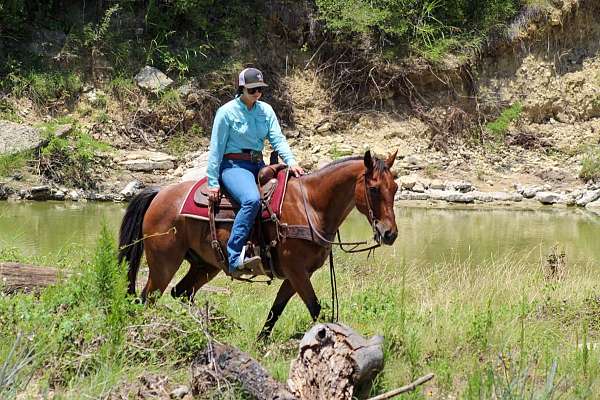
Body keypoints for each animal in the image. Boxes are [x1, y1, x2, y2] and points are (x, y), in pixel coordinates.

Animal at [117, 150, 398, 338]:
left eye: (395, 188)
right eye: (373, 189)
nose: (389, 234)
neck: (311, 205)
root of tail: (159, 194)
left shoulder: (296, 275)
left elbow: (276, 310)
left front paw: (260, 343)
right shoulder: (296, 271)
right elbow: (315, 308)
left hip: (205, 266)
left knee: (181, 293)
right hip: (164, 264)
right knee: (148, 298)